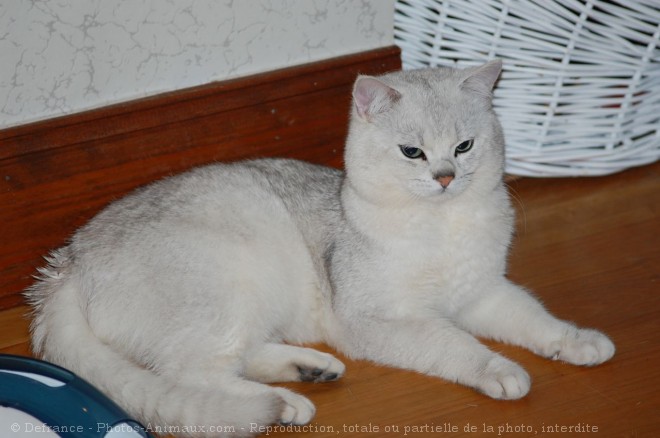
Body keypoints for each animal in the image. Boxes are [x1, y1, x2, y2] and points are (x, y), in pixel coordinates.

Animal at [24, 60, 612, 436]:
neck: (443, 225)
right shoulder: (376, 319)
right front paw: (497, 369)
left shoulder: (483, 293)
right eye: (412, 152)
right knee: (188, 375)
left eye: (465, 146)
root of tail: (65, 264)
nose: (446, 177)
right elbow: (451, 342)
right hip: (225, 284)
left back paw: (308, 371)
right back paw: (285, 404)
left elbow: (534, 317)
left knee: (235, 359)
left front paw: (577, 341)